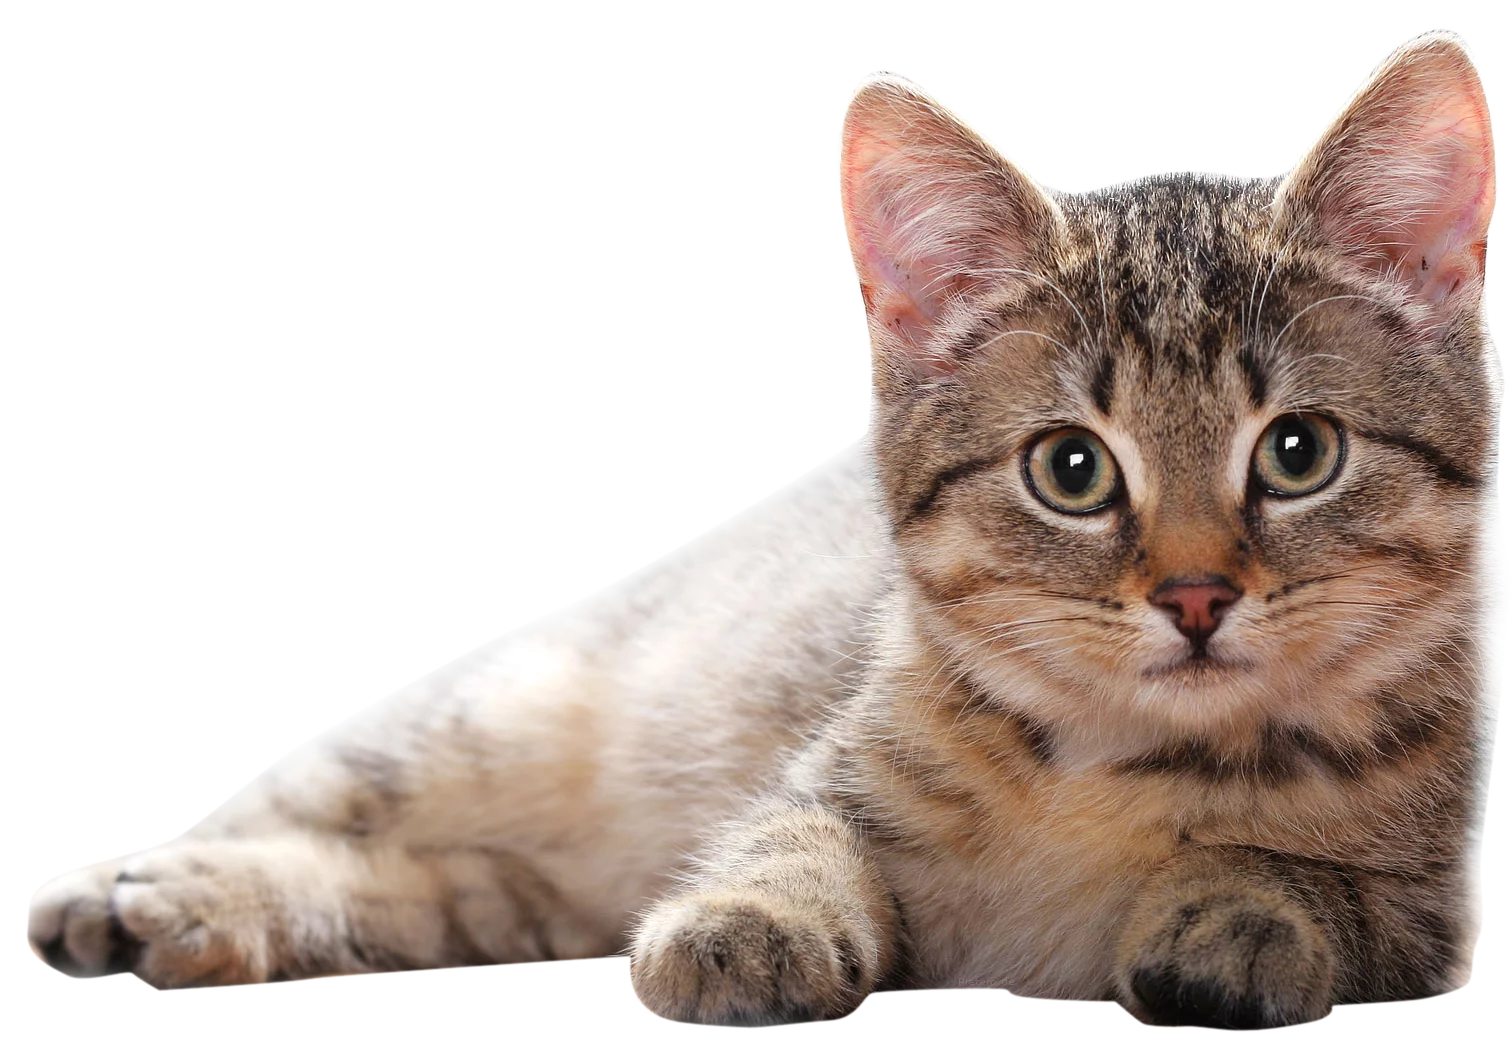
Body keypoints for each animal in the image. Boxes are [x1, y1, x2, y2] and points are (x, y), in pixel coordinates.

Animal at [26, 34, 1498, 1026]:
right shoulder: (819, 772)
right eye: (1071, 470)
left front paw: (1240, 912)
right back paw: (143, 891)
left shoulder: (1436, 909)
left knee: (423, 890)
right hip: (480, 718)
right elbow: (784, 835)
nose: (1193, 596)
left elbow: (1321, 887)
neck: (1125, 764)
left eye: (1297, 453)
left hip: (510, 885)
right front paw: (750, 919)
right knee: (302, 807)